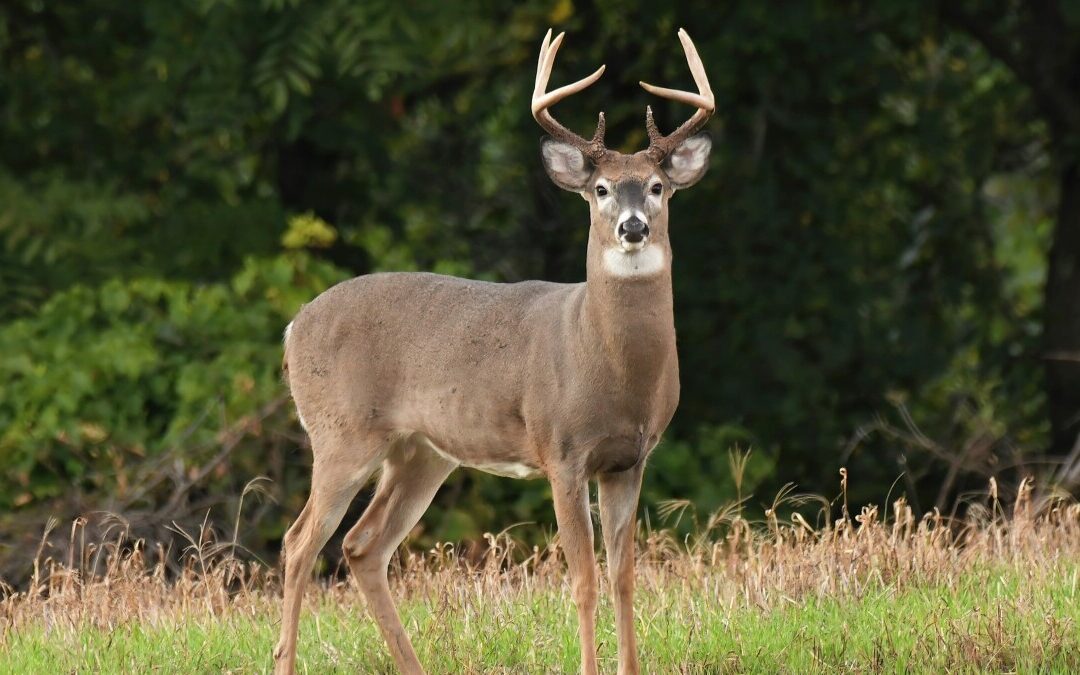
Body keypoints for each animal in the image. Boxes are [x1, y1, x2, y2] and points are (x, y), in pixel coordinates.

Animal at [274, 26, 712, 673]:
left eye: (657, 187)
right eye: (600, 189)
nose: (632, 226)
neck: (609, 362)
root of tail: (293, 327)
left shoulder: (630, 458)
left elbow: (624, 577)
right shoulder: (562, 449)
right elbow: (582, 580)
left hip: (421, 451)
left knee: (361, 544)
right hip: (341, 432)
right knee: (300, 541)